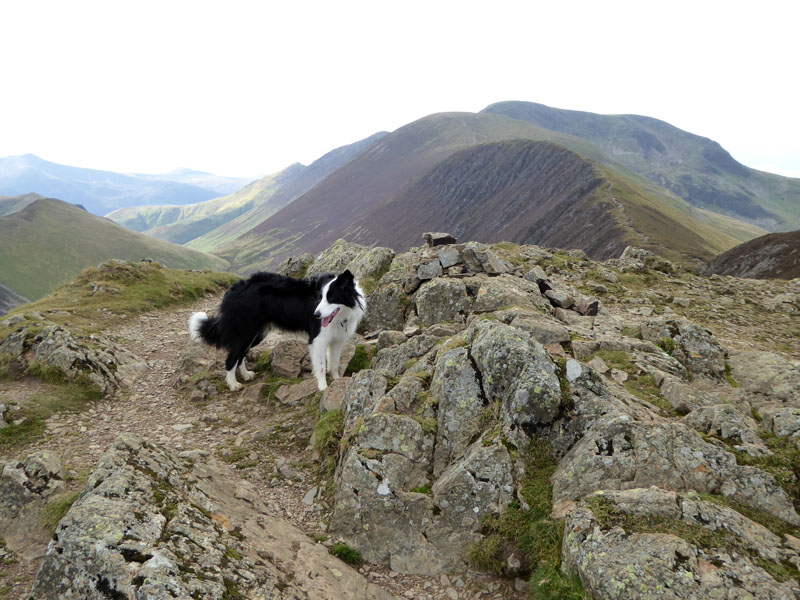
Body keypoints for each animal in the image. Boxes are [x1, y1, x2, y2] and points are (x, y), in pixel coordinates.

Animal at [188, 270, 366, 392]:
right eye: (319, 298)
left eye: (331, 298)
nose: (315, 314)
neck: (342, 315)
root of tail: (234, 289)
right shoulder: (318, 340)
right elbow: (321, 366)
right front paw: (323, 388)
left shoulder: (336, 341)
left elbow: (334, 364)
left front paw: (337, 381)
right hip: (246, 332)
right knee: (231, 358)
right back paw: (233, 384)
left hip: (256, 334)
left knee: (240, 355)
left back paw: (246, 375)